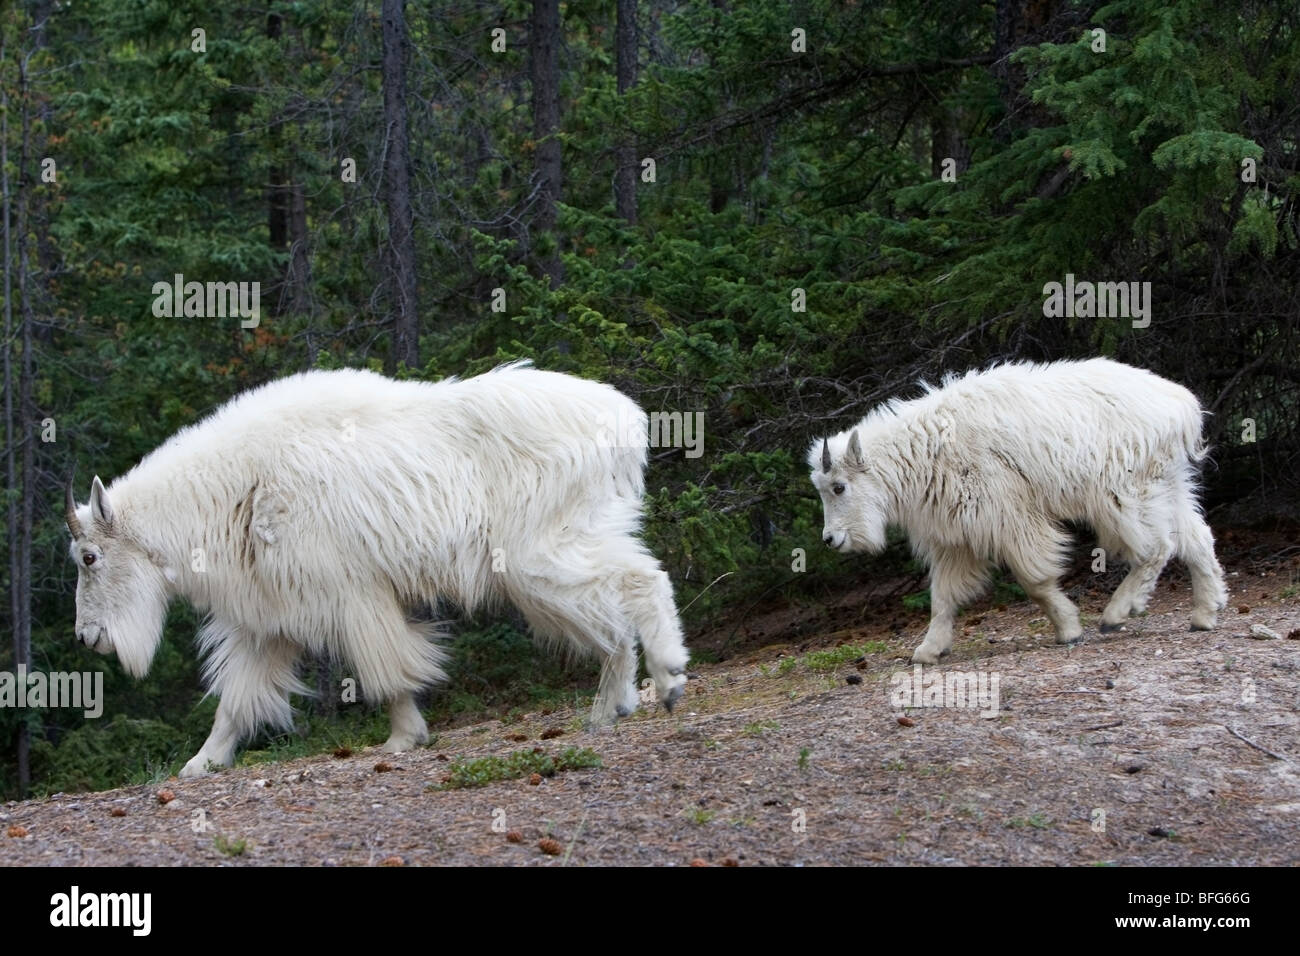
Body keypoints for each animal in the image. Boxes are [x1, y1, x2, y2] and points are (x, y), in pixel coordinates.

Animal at [65, 361, 691, 775]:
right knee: (612, 617)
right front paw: (200, 763)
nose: (87, 637)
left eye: (89, 557)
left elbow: (386, 667)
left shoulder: (349, 592)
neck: (234, 490)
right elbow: (237, 697)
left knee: (639, 581)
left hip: (538, 552)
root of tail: (626, 422)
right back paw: (610, 706)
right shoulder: (267, 616)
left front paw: (402, 738)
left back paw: (667, 677)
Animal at [811, 358, 1227, 665]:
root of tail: (1181, 405)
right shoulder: (956, 537)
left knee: (1156, 547)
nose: (831, 539)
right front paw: (928, 650)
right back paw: (1205, 613)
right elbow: (943, 596)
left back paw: (1118, 613)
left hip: (1124, 491)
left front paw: (1068, 628)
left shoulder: (1009, 515)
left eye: (839, 486)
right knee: (1196, 539)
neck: (926, 451)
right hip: (1168, 482)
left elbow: (1035, 580)